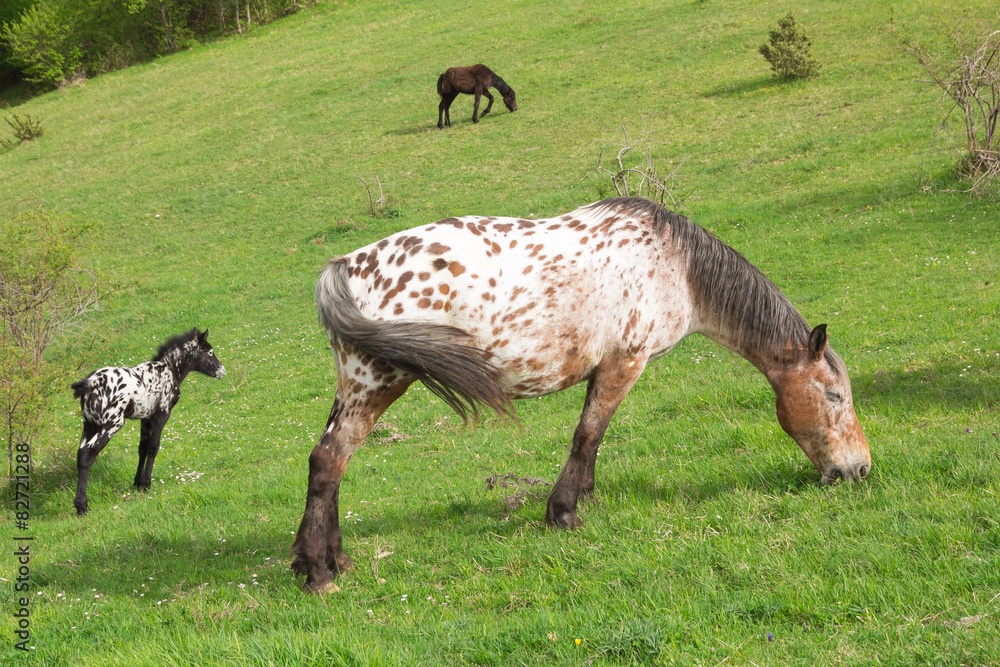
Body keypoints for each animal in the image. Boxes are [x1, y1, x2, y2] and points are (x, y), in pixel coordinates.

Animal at [71, 328, 227, 515]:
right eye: (210, 352)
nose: (222, 371)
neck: (169, 369)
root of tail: (91, 383)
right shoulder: (161, 415)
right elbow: (153, 447)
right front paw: (146, 484)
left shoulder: (145, 419)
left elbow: (142, 448)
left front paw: (137, 483)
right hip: (111, 425)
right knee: (88, 455)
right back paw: (82, 505)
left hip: (89, 425)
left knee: (81, 455)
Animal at [291, 197, 871, 593]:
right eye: (835, 396)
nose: (861, 469)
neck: (676, 266)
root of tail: (346, 265)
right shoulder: (625, 361)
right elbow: (589, 433)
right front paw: (564, 513)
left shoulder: (607, 367)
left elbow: (593, 439)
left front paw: (584, 496)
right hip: (377, 383)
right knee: (329, 461)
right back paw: (321, 574)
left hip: (356, 386)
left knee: (329, 463)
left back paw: (326, 557)